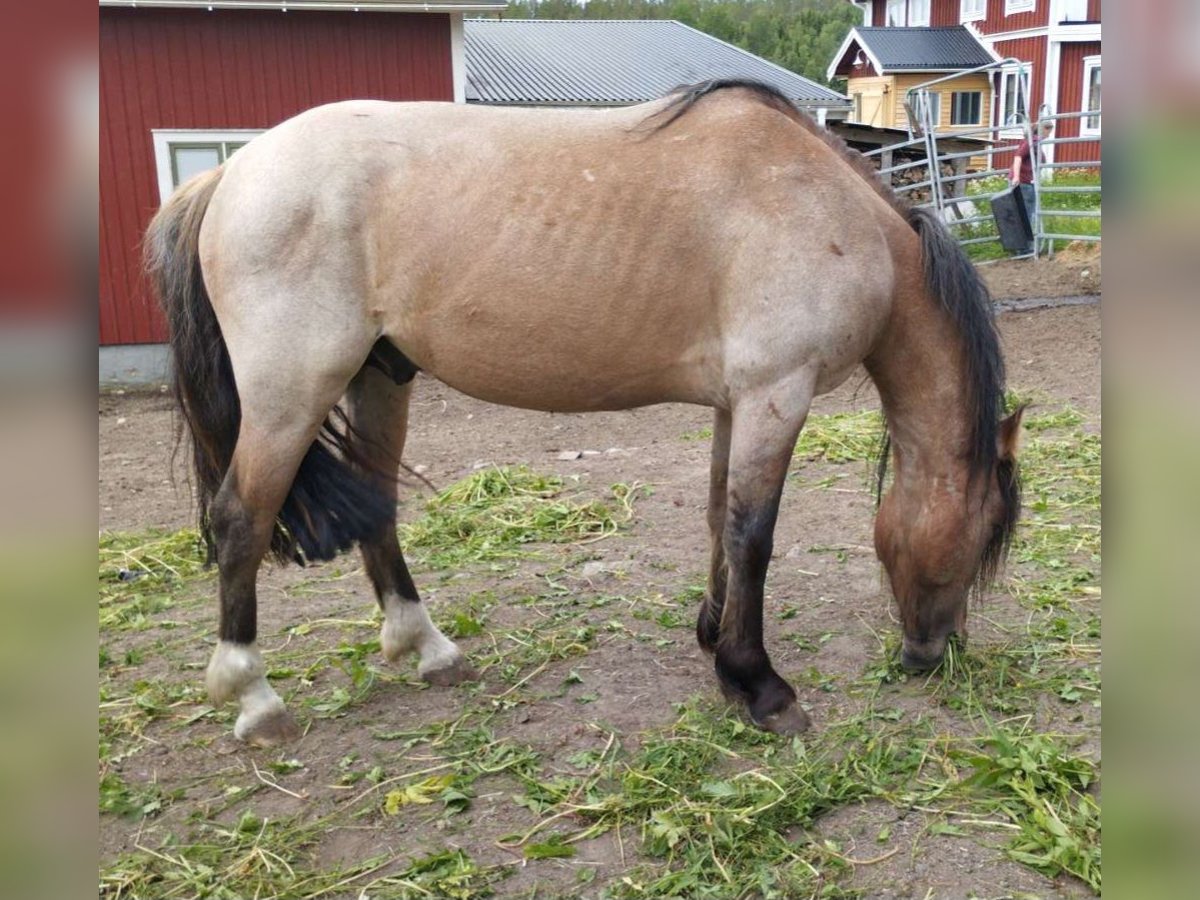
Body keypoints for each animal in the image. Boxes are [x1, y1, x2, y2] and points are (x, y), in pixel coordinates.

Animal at [142, 81, 1022, 748]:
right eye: (983, 534)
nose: (932, 653)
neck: (831, 212)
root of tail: (230, 176)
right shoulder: (778, 393)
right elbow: (754, 539)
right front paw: (759, 684)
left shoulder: (738, 403)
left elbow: (719, 520)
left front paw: (715, 644)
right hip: (290, 393)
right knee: (241, 520)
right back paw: (254, 697)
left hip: (378, 379)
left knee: (377, 508)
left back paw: (427, 647)